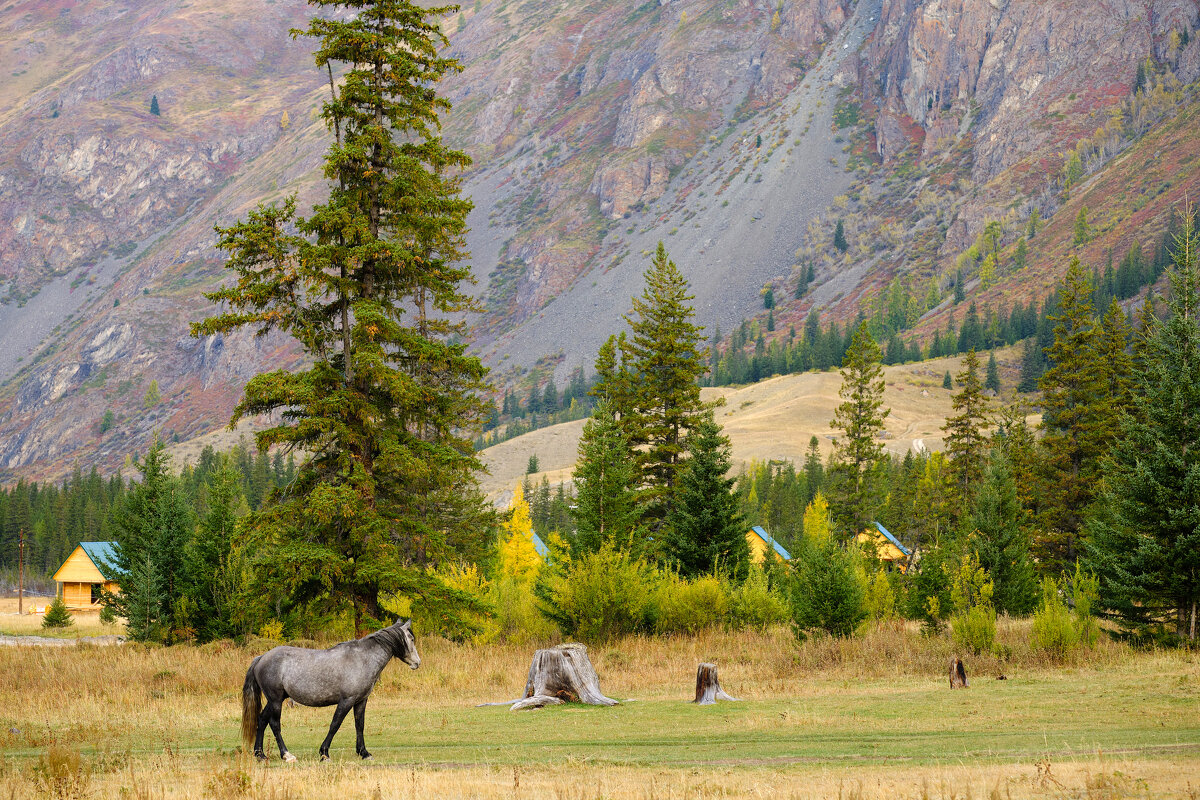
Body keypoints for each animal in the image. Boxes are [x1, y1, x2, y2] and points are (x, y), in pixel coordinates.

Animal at [237, 618, 417, 762]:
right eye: (411, 638)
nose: (417, 662)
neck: (362, 659)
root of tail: (261, 657)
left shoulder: (360, 701)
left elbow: (359, 725)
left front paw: (364, 753)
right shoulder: (346, 701)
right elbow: (335, 724)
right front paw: (324, 753)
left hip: (275, 699)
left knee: (262, 720)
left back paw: (260, 755)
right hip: (275, 700)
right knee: (274, 724)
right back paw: (287, 755)